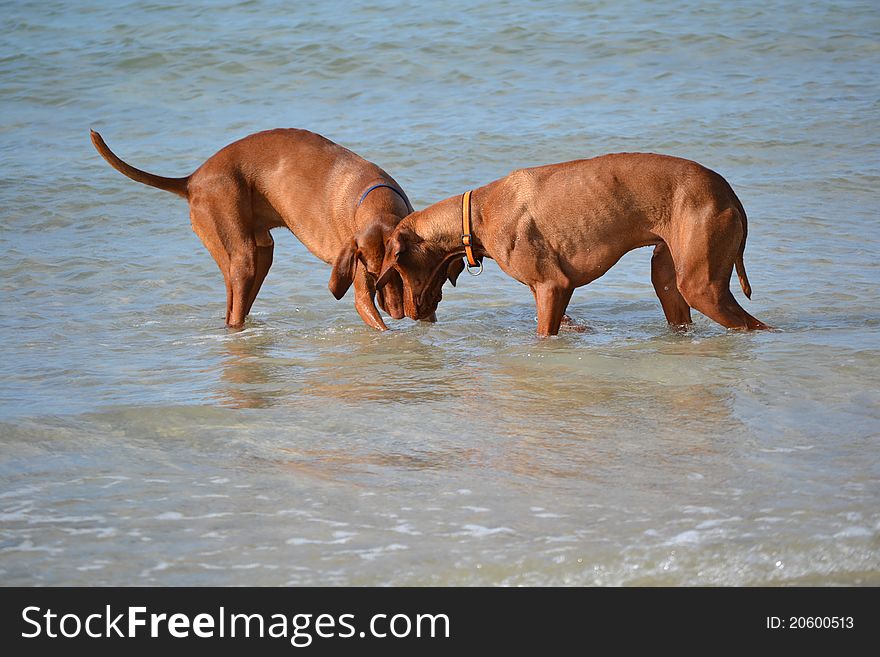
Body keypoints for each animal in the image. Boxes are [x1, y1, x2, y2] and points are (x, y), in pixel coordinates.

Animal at [91, 129, 418, 330]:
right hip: (241, 258)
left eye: (399, 273)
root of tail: (193, 179)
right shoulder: (360, 285)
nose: (398, 313)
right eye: (374, 276)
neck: (375, 201)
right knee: (233, 313)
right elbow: (373, 316)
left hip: (261, 256)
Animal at [376, 153, 768, 336]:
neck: (480, 213)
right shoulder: (554, 294)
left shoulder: (552, 286)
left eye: (397, 267)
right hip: (668, 276)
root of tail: (727, 191)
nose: (407, 315)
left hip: (701, 286)